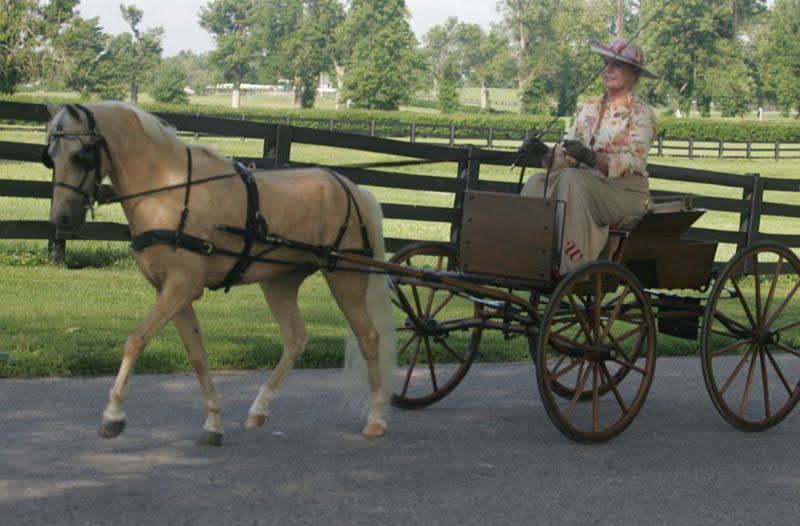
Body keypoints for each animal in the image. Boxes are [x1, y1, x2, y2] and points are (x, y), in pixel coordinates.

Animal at [42, 100, 397, 445]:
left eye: (80, 155)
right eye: (50, 157)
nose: (61, 219)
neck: (167, 189)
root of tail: (353, 188)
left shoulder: (182, 287)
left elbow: (136, 339)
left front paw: (113, 415)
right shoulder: (172, 292)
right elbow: (197, 354)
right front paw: (213, 421)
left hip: (346, 278)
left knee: (369, 339)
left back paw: (377, 417)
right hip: (279, 282)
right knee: (296, 340)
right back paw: (260, 408)